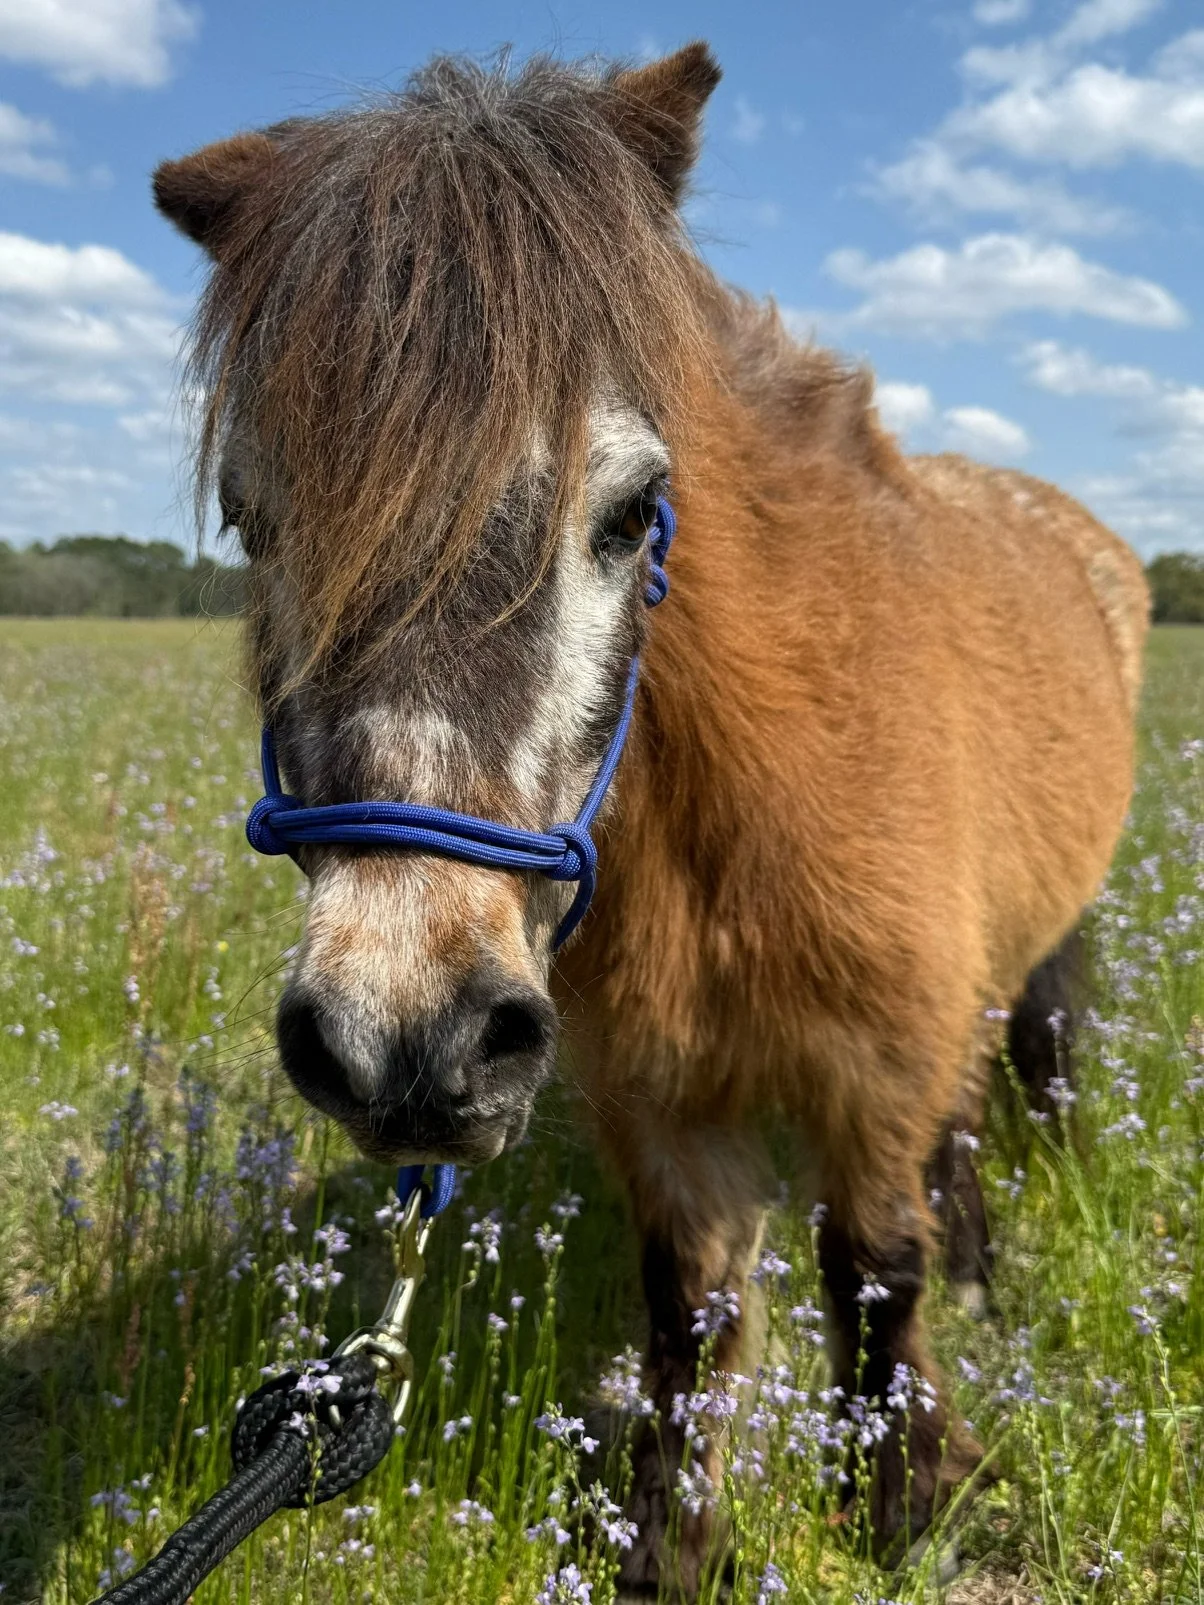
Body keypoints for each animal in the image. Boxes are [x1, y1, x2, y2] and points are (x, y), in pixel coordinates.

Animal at [153, 43, 1149, 1592]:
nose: (403, 1038)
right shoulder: (666, 1106)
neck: (746, 802)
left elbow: (879, 1272)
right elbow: (692, 1316)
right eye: (254, 521)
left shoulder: (879, 1065)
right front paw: (671, 1548)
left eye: (632, 509)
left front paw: (906, 1494)